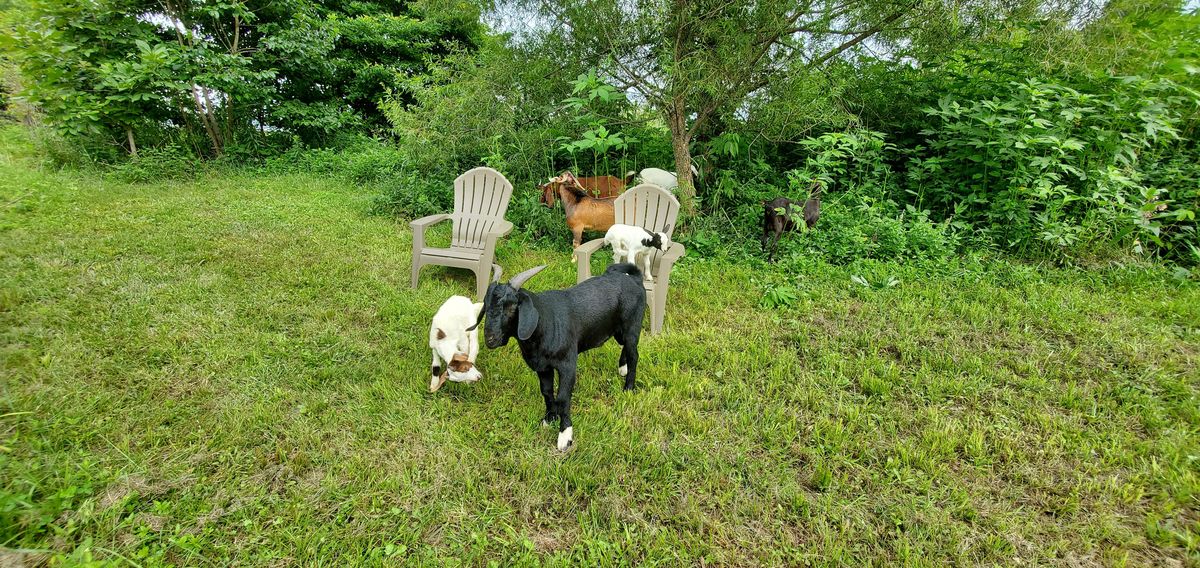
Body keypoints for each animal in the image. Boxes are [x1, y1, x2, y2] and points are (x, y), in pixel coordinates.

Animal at [467, 263, 646, 451]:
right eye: (486, 305)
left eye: (511, 308)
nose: (490, 338)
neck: (545, 324)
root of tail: (634, 279)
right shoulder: (543, 367)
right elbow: (546, 391)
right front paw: (549, 418)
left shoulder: (568, 365)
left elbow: (562, 398)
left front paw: (565, 435)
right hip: (618, 331)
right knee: (625, 347)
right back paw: (622, 368)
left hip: (632, 326)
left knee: (634, 354)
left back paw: (628, 387)